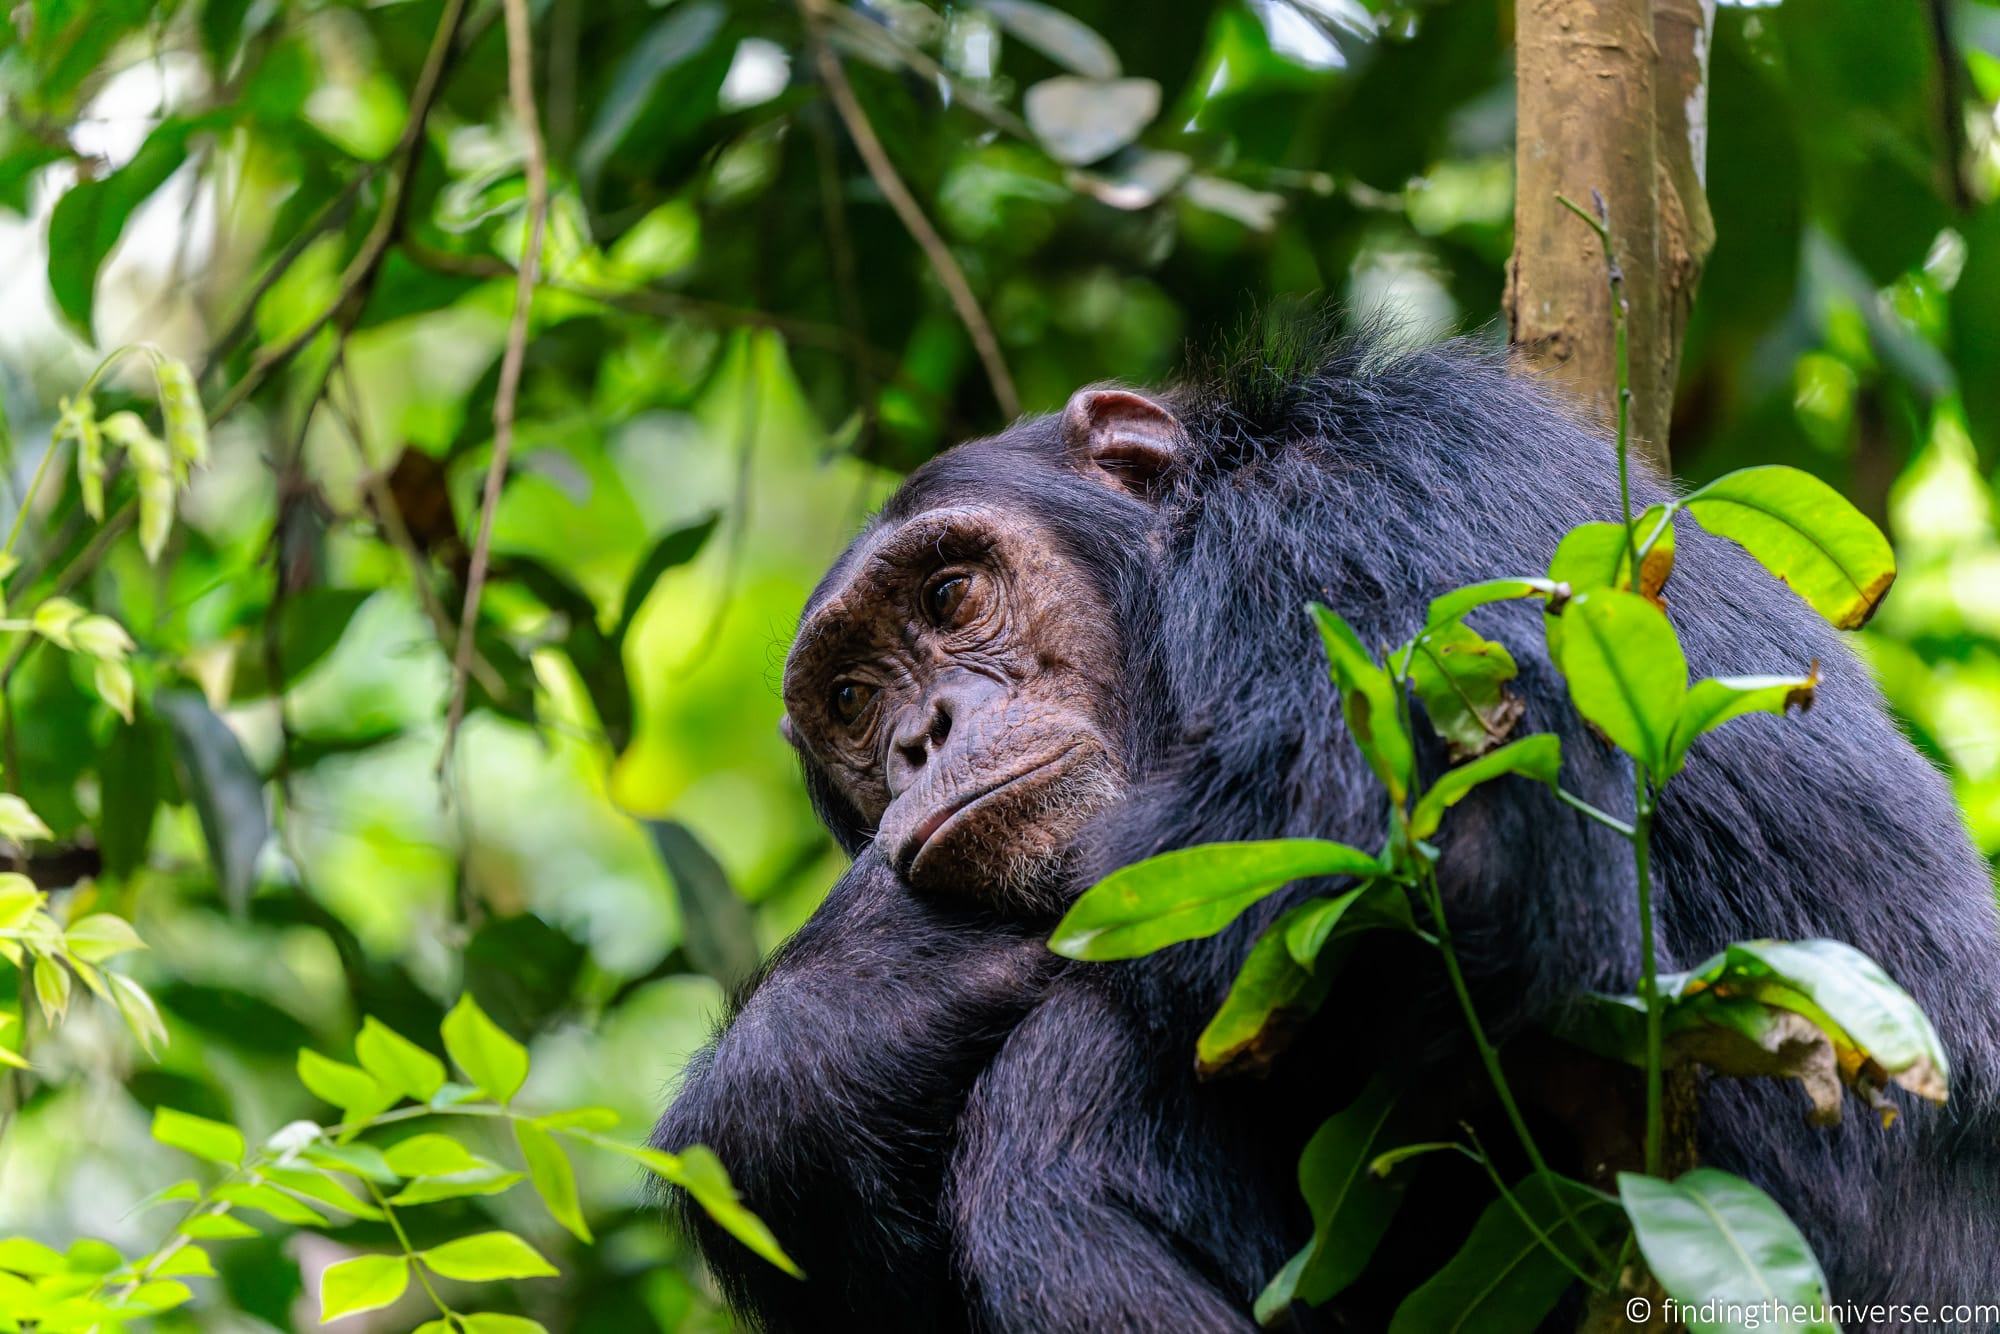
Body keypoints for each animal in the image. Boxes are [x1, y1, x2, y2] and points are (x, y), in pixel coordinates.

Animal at [656, 318, 2000, 1328]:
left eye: (949, 593)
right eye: (848, 697)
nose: (922, 731)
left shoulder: (1329, 513)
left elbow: (1396, 820)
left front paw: (885, 945)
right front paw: (817, 1025)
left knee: (1059, 1119)